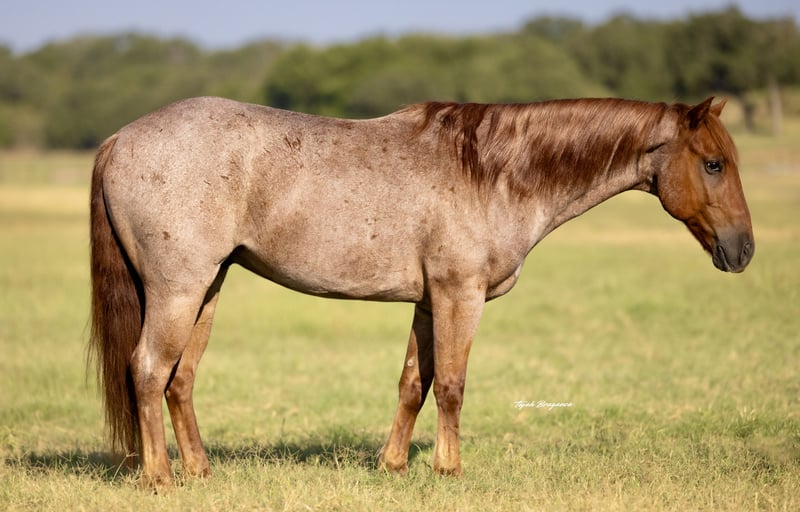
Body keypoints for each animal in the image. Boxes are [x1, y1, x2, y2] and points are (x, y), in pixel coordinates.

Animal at [88, 96, 754, 488]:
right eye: (714, 163)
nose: (744, 249)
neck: (492, 170)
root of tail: (119, 139)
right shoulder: (460, 295)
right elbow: (453, 385)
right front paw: (448, 469)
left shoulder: (430, 302)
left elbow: (415, 382)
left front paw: (393, 465)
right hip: (178, 290)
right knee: (147, 370)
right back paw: (160, 478)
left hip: (208, 288)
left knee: (180, 379)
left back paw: (200, 471)